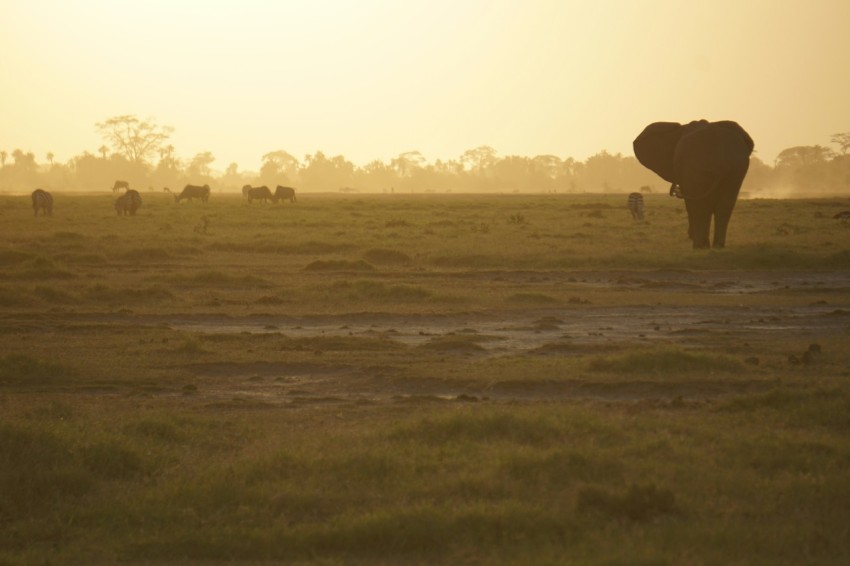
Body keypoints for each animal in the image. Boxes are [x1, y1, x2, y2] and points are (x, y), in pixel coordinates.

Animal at [632, 120, 752, 248]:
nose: (675, 191)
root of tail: (720, 163)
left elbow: (690, 204)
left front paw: (692, 236)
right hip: (736, 168)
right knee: (724, 206)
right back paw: (717, 246)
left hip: (697, 167)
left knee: (700, 206)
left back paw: (699, 247)